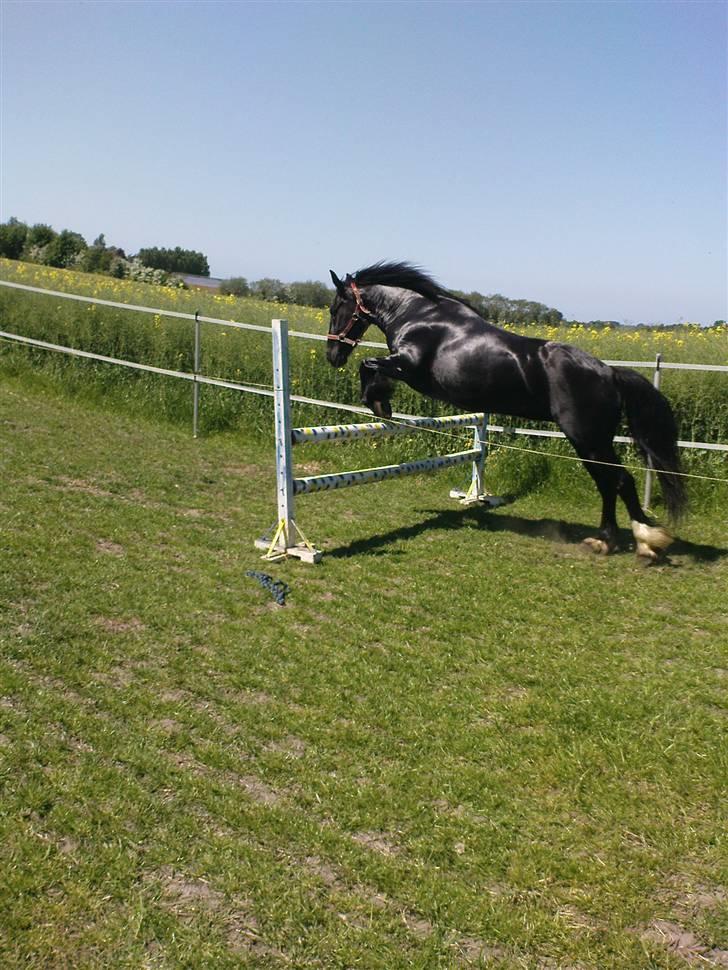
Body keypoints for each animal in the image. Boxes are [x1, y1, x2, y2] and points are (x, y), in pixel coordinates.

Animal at [325, 261, 686, 559]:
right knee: (612, 483)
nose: (332, 356)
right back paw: (626, 540)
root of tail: (610, 373)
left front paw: (378, 403)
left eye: (336, 307)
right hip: (593, 442)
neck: (419, 316)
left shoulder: (409, 367)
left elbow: (368, 365)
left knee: (616, 481)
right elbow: (371, 366)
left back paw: (630, 541)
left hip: (588, 440)